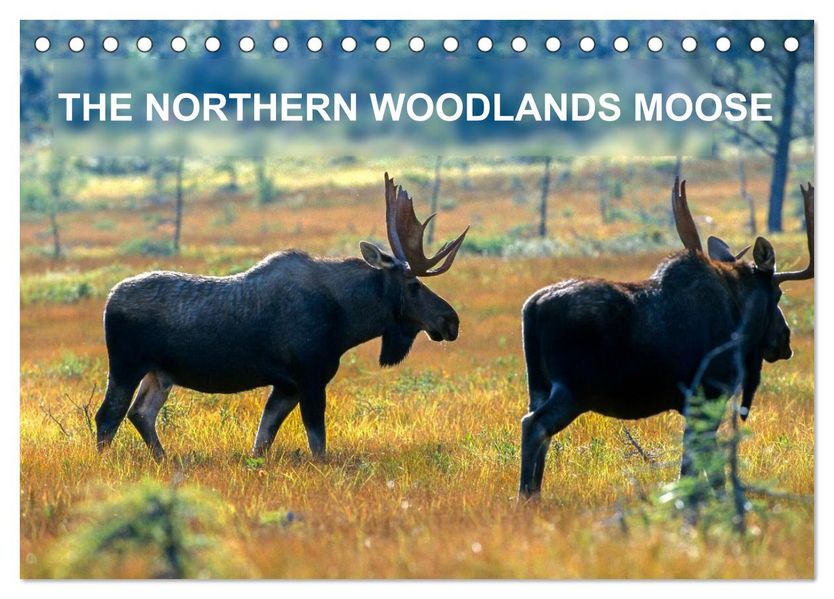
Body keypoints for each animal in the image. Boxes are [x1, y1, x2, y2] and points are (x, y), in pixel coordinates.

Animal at [95, 173, 469, 461]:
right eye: (413, 284)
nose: (451, 321)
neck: (347, 320)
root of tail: (108, 300)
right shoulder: (310, 377)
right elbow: (317, 445)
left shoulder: (286, 386)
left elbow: (262, 441)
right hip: (126, 366)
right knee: (108, 417)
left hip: (160, 373)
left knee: (140, 414)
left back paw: (163, 458)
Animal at [519, 178, 814, 498]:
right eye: (778, 293)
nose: (784, 340)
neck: (739, 318)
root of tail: (532, 307)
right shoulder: (709, 392)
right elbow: (703, 465)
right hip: (574, 389)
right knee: (534, 426)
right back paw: (526, 496)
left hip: (539, 387)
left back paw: (533, 493)